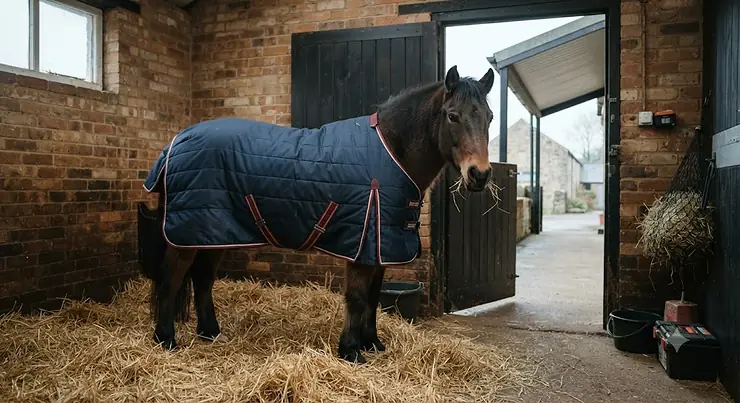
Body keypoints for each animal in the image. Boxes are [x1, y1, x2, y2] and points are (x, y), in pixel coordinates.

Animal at [136, 65, 496, 364]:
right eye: (452, 116)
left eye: (490, 117)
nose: (479, 174)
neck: (391, 152)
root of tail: (176, 142)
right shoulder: (363, 244)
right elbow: (357, 297)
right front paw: (351, 351)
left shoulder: (379, 246)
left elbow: (374, 297)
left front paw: (372, 343)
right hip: (189, 235)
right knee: (171, 280)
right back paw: (166, 340)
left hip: (215, 233)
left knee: (203, 280)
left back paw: (210, 333)